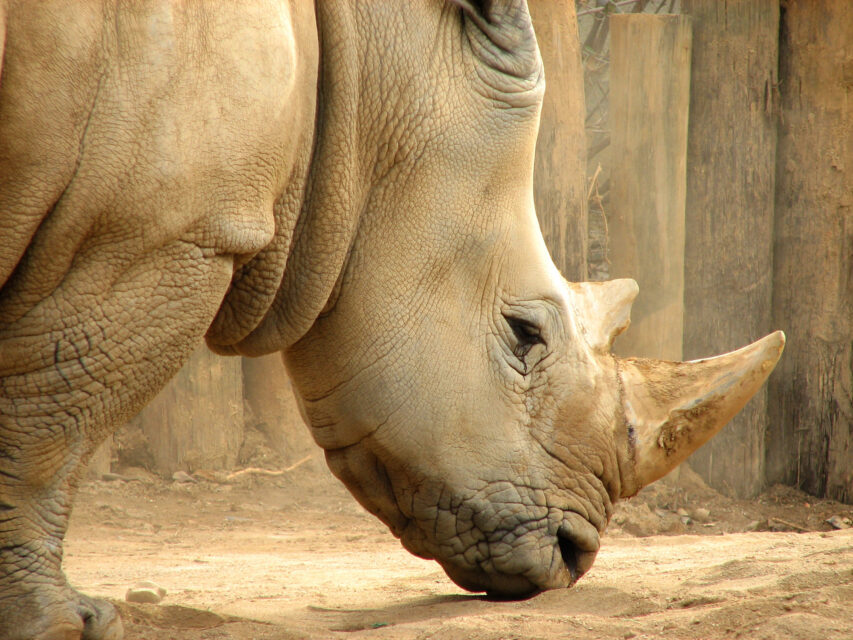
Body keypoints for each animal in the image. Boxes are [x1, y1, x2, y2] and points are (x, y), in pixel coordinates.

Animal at [0, 1, 784, 638]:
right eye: (524, 334)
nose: (574, 556)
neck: (362, 83)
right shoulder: (155, 233)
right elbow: (50, 428)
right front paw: (67, 624)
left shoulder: (153, 224)